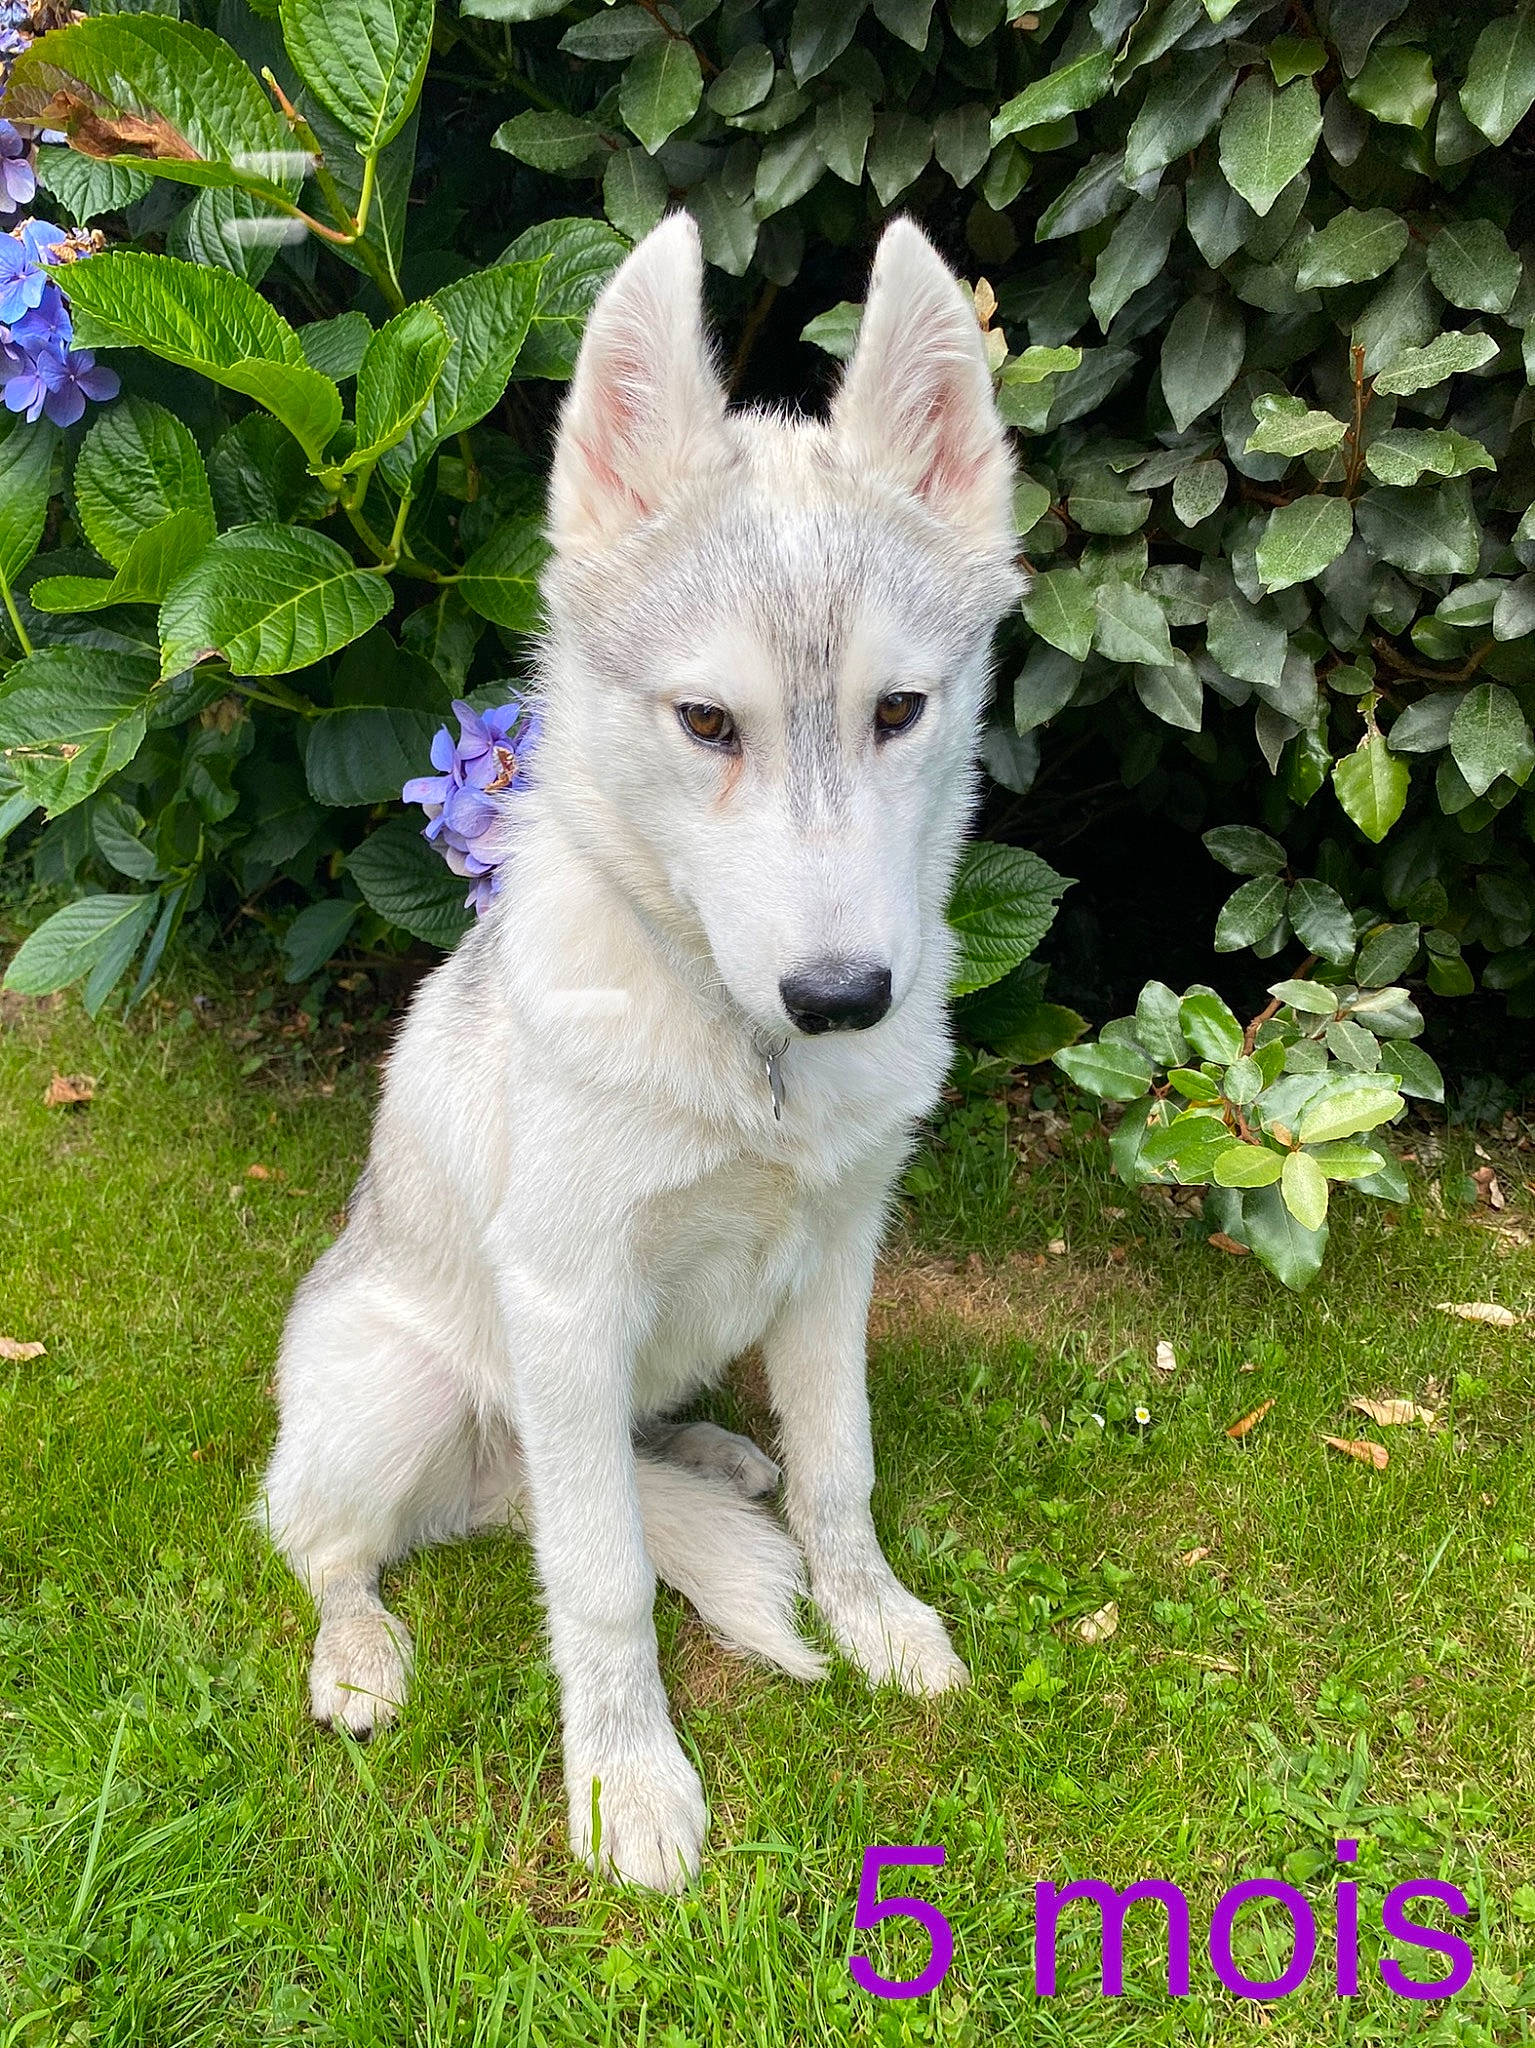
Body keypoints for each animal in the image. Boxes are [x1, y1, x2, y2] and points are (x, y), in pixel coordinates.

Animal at [259, 212, 1019, 1891]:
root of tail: (482, 1479)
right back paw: (359, 1657)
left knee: (627, 1462)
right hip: (395, 1398)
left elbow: (842, 1473)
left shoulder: (835, 1259)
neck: (745, 1056)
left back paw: (710, 1462)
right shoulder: (564, 1298)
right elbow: (601, 1578)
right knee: (333, 1543)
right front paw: (624, 1781)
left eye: (897, 710)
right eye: (705, 724)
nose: (841, 995)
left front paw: (872, 1621)